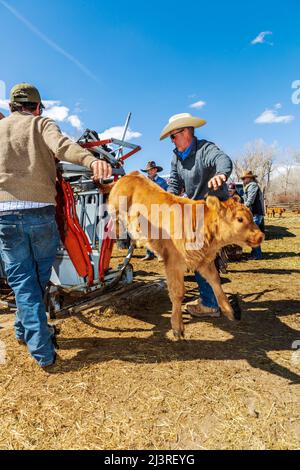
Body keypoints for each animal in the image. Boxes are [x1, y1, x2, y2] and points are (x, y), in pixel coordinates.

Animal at [106, 172, 264, 338]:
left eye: (251, 215)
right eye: (239, 219)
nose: (261, 236)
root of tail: (131, 175)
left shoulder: (204, 262)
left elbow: (215, 281)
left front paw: (229, 310)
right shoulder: (174, 264)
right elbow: (178, 293)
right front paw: (177, 326)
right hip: (115, 208)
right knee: (113, 220)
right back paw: (117, 233)